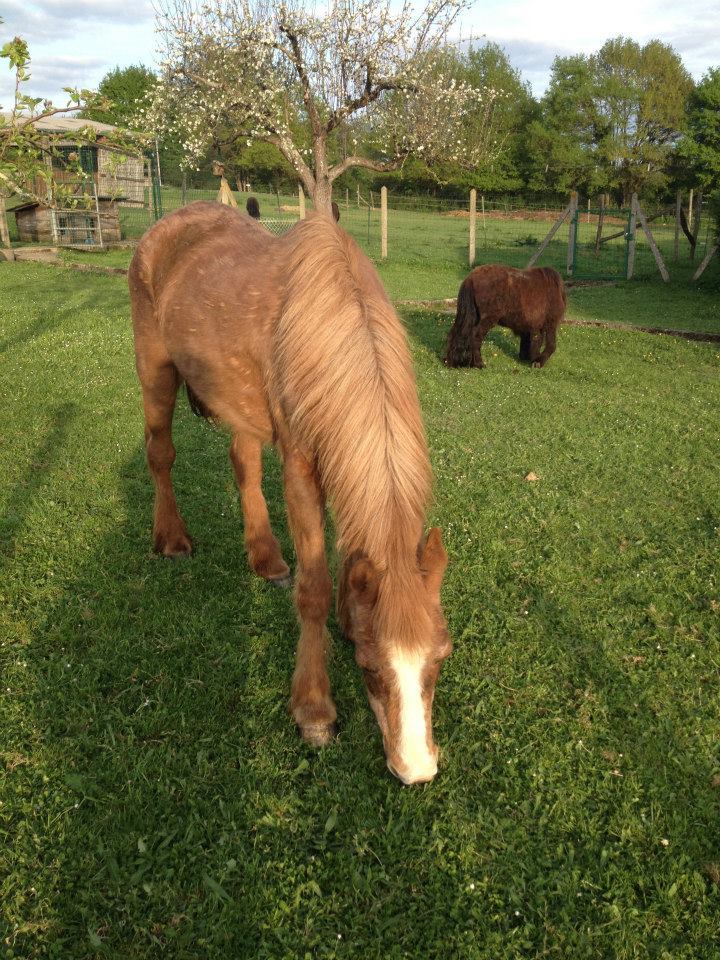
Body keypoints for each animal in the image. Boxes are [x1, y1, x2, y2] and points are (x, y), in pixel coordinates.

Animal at [126, 204, 448, 788]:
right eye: (369, 667)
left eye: (441, 657)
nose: (415, 768)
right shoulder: (300, 465)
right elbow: (312, 588)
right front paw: (314, 710)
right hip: (154, 370)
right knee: (160, 453)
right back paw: (172, 539)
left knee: (243, 465)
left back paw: (267, 558)